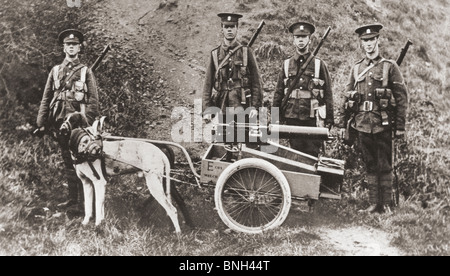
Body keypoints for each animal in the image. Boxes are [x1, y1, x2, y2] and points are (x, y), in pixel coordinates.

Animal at [60, 111, 190, 233]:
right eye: (64, 119)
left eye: (73, 120)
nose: (62, 129)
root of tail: (160, 151)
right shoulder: (86, 183)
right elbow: (89, 206)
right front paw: (86, 223)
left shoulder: (99, 183)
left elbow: (97, 206)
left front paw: (97, 225)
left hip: (155, 184)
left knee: (172, 209)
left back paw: (178, 233)